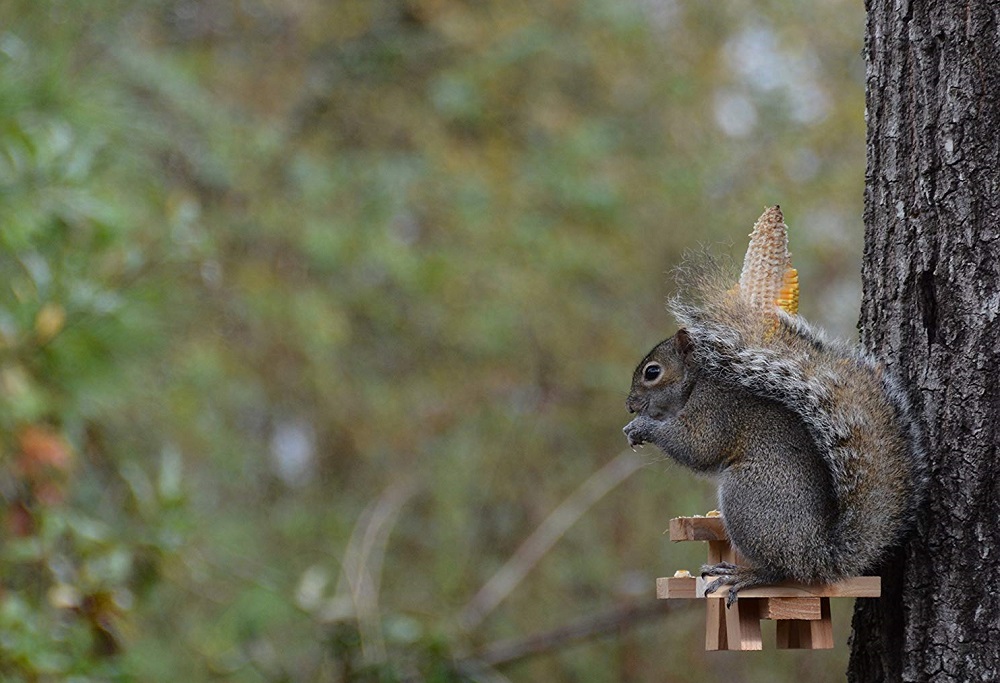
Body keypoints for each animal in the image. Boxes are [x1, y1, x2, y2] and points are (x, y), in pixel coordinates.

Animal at [623, 211, 927, 607]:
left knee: (780, 569)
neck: (697, 382)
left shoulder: (715, 411)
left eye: (652, 372)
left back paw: (743, 575)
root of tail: (818, 555)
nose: (629, 405)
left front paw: (644, 427)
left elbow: (698, 447)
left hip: (748, 498)